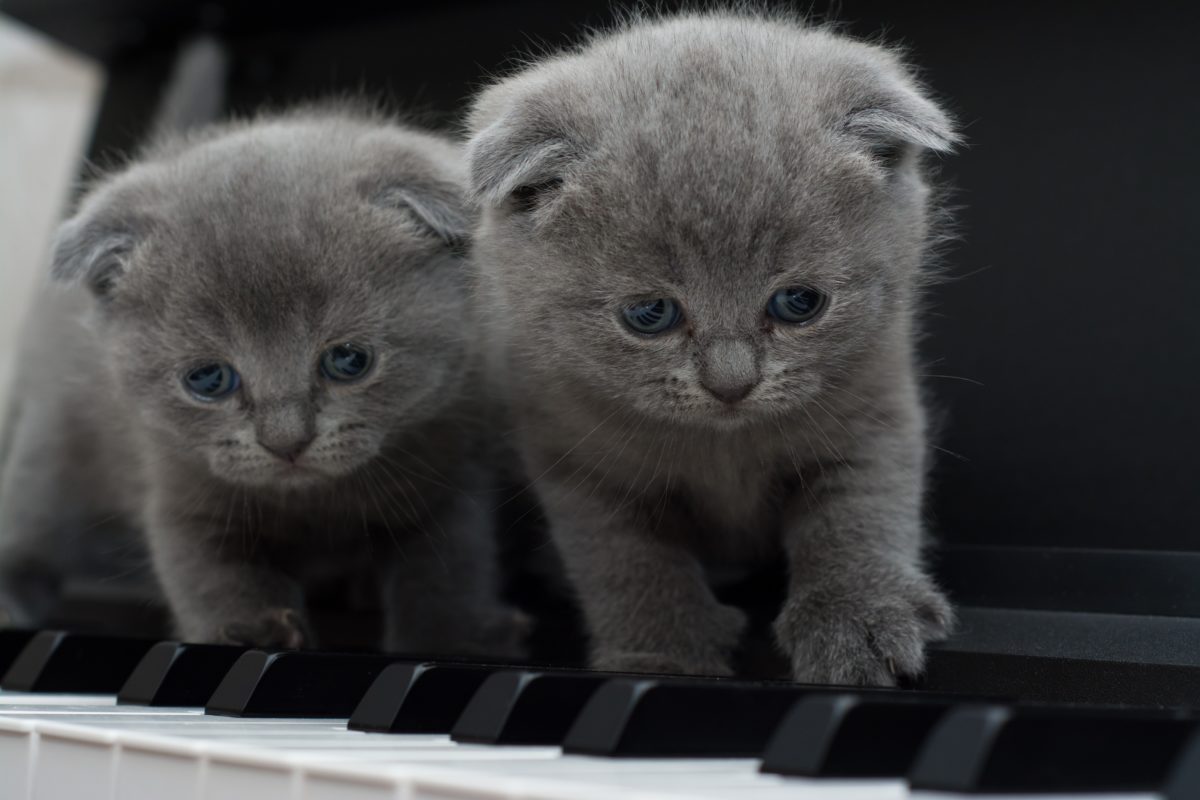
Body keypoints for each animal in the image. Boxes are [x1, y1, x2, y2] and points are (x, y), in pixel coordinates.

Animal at [1, 106, 525, 657]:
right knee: (30, 525)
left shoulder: (450, 468)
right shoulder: (178, 488)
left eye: (349, 360)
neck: (316, 505)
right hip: (56, 448)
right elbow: (210, 573)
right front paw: (254, 631)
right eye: (209, 379)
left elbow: (449, 568)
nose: (286, 441)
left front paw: (453, 638)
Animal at [463, 10, 960, 690]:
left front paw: (858, 620)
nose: (731, 383)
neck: (724, 447)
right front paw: (661, 653)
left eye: (799, 302)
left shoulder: (874, 405)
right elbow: (625, 558)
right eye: (650, 315)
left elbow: (860, 511)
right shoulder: (571, 451)